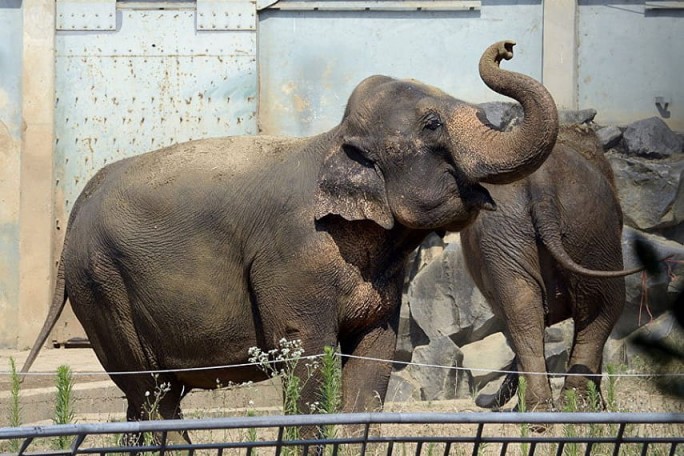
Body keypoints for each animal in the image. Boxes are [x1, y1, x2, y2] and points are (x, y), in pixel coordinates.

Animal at [24, 40, 560, 432]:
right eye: (432, 125)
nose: (507, 47)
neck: (331, 143)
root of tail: (78, 207)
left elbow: (374, 358)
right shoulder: (294, 258)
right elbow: (308, 355)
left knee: (155, 399)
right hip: (103, 287)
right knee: (151, 392)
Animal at [460, 124, 640, 414]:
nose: (480, 399)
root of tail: (542, 184)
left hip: (569, 226)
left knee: (523, 310)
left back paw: (549, 409)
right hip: (585, 228)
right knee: (605, 306)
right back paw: (572, 407)